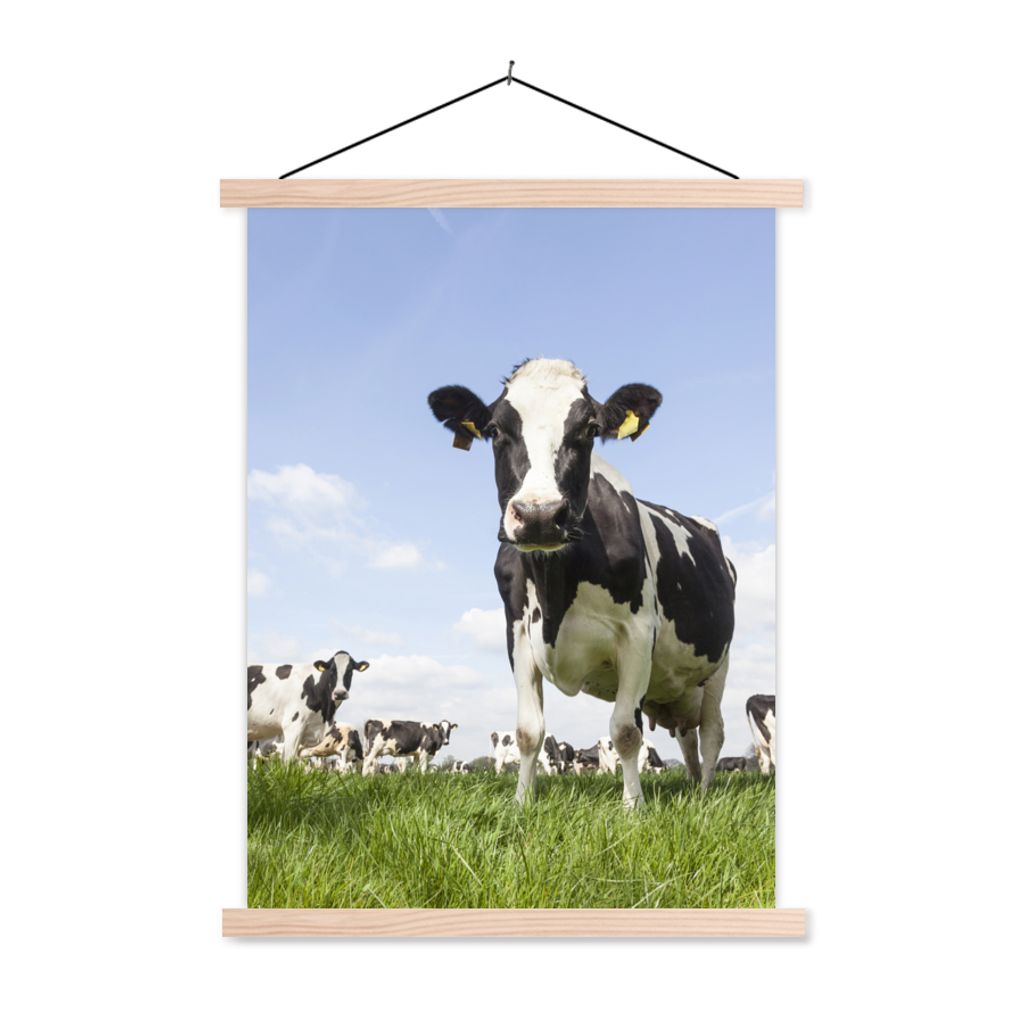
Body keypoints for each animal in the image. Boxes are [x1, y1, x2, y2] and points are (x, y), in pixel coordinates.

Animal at [429, 359, 736, 810]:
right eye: (496, 430)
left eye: (590, 429)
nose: (539, 515)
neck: (557, 586)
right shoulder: (518, 634)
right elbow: (528, 731)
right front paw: (521, 803)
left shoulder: (638, 634)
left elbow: (625, 730)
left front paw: (633, 806)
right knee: (687, 737)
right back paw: (694, 784)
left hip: (718, 665)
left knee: (712, 732)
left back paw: (705, 792)